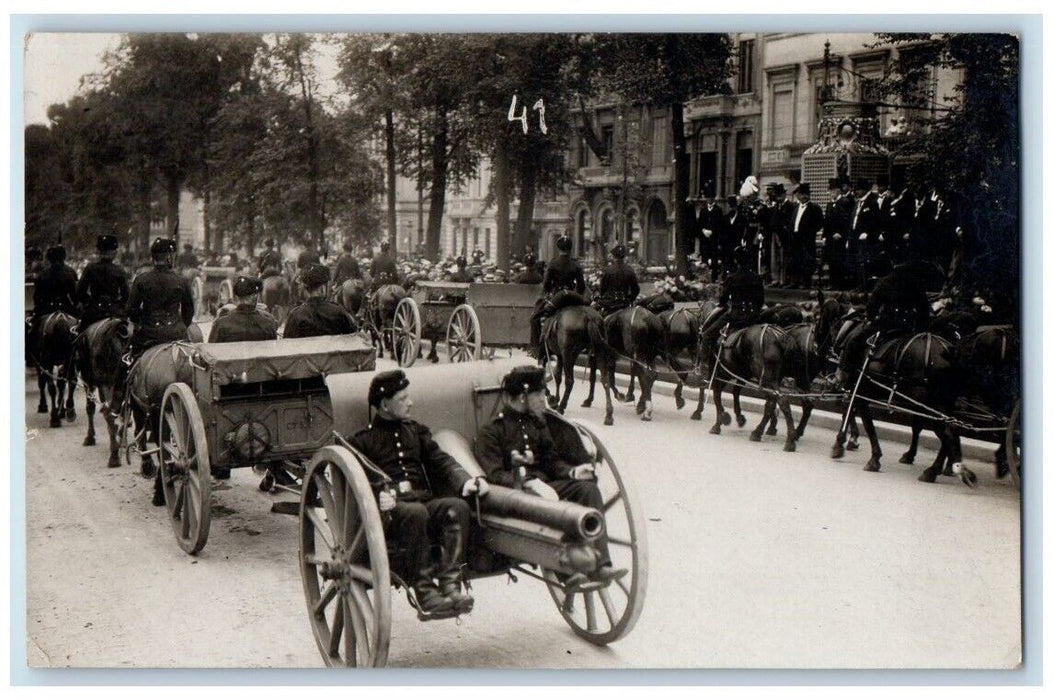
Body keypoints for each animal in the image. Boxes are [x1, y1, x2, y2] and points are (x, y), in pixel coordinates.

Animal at [72, 315, 131, 463]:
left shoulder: (89, 381)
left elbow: (90, 408)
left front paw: (90, 437)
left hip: (105, 382)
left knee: (109, 412)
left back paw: (114, 455)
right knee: (118, 409)